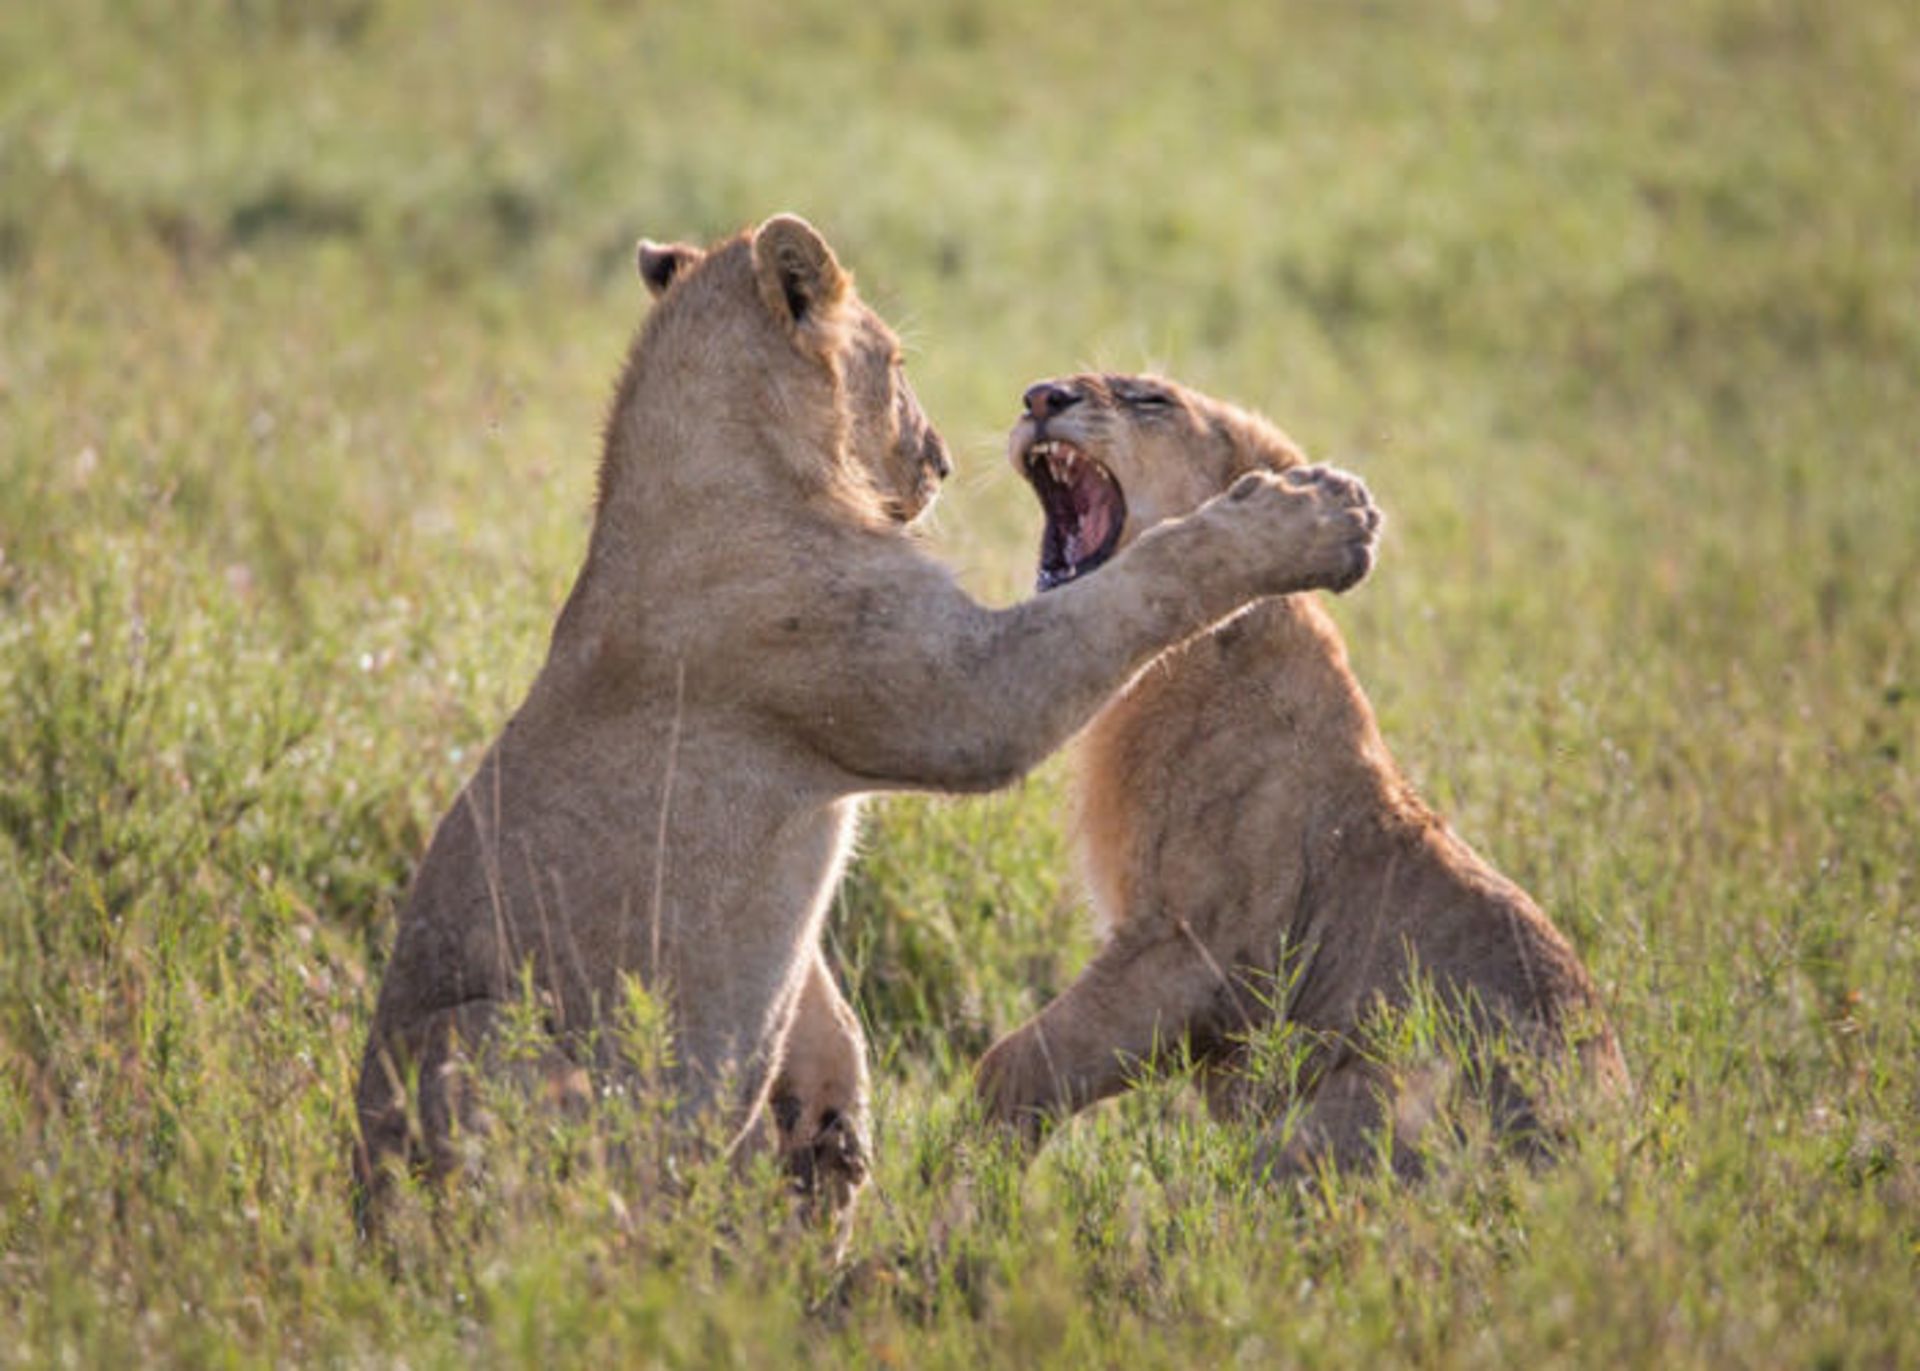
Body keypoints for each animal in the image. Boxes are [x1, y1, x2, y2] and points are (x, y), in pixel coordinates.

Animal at [967, 374, 1628, 1175]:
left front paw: (967, 1185)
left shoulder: (1195, 949)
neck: (1176, 663)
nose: (1040, 397)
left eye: (1151, 399)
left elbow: (1016, 1063)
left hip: (1363, 1104)